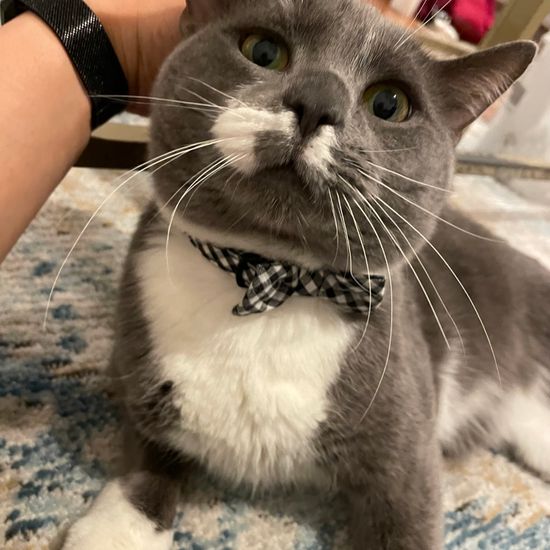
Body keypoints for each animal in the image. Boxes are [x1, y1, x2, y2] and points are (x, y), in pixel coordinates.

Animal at [63, 1, 548, 550]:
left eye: (389, 104)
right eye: (263, 51)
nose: (318, 100)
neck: (270, 279)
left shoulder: (409, 453)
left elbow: (407, 516)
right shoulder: (138, 365)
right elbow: (148, 453)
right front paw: (117, 528)